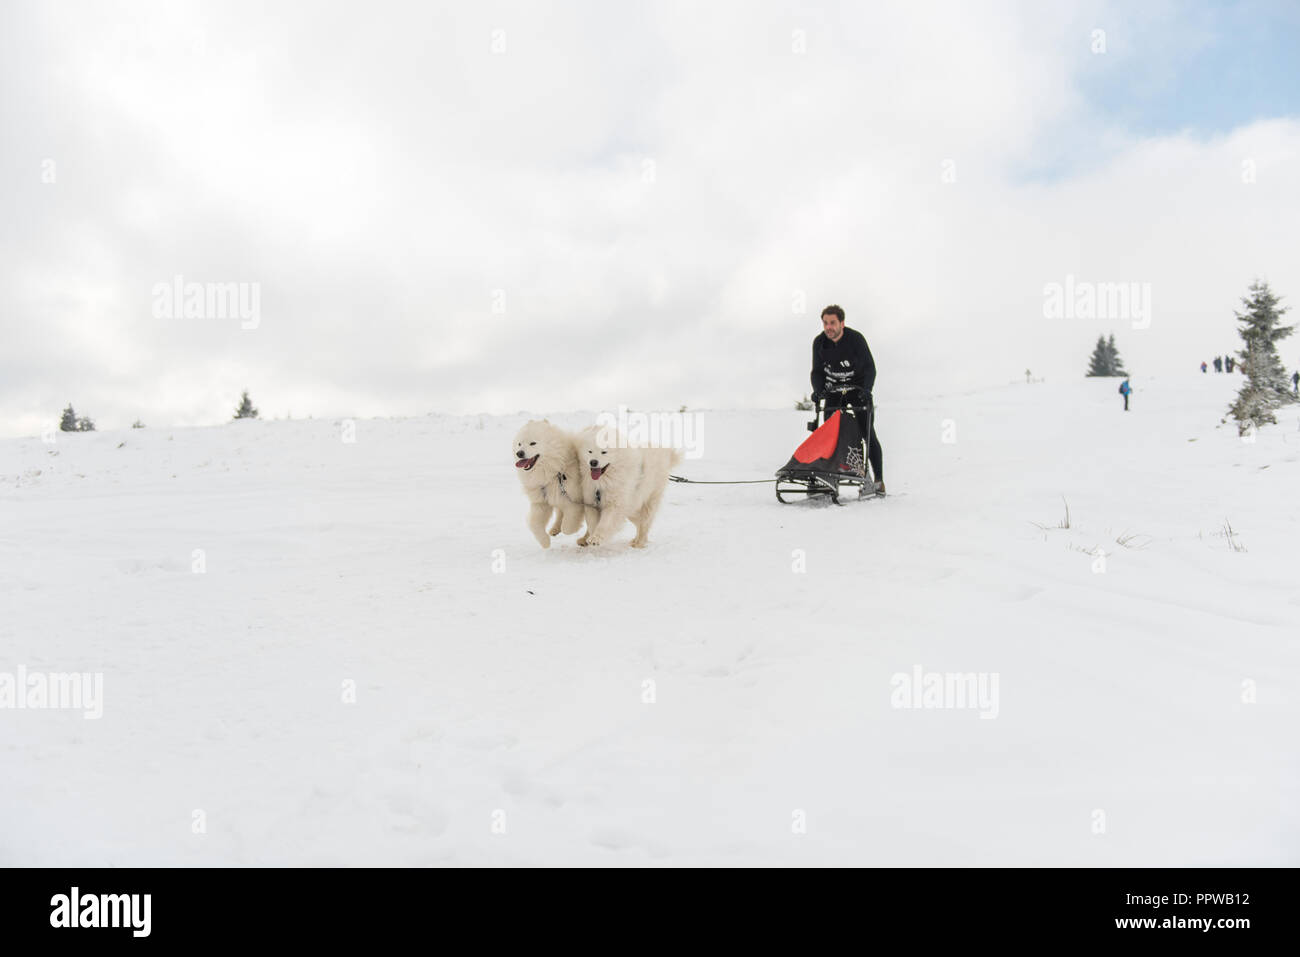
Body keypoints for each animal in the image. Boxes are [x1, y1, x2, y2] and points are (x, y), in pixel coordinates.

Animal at [512, 418, 585, 546]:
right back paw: (555, 529)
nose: (519, 453)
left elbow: (568, 526)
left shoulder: (574, 501)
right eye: (519, 444)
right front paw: (545, 542)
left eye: (533, 443)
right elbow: (534, 524)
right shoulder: (542, 500)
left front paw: (571, 528)